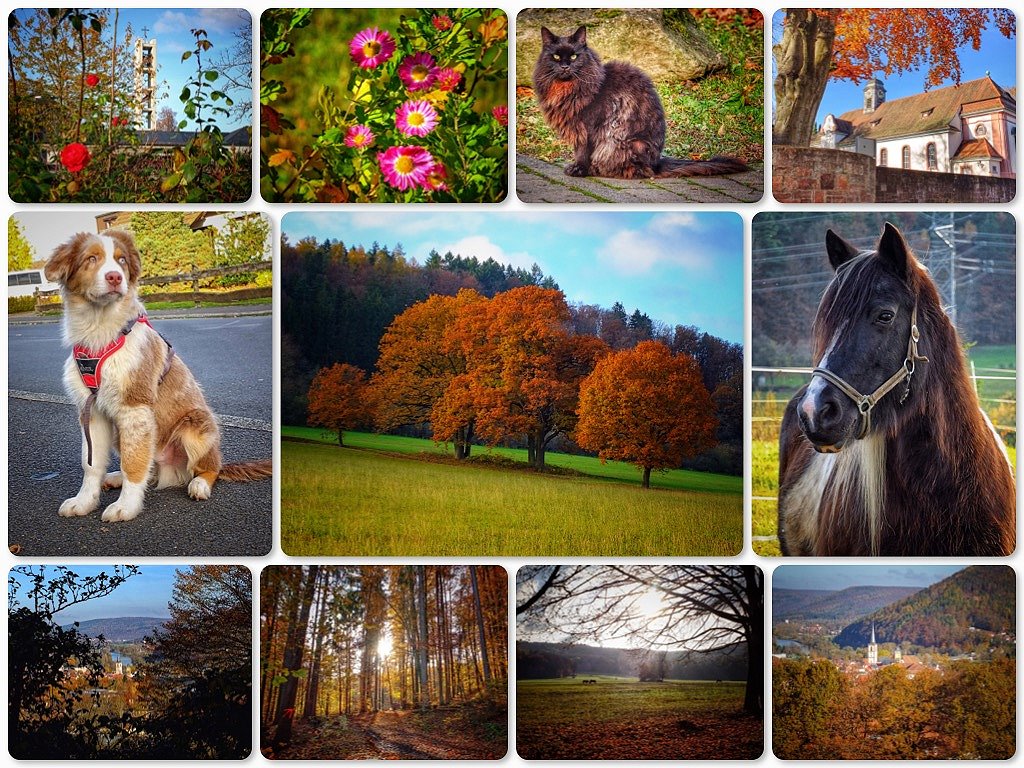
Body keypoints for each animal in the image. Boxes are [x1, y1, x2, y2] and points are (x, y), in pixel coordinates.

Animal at [44, 228, 272, 524]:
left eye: (121, 260)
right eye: (91, 258)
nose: (115, 277)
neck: (100, 331)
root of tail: (173, 472)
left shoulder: (135, 409)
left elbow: (133, 463)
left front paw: (126, 507)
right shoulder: (90, 411)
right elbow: (91, 464)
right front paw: (83, 501)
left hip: (196, 426)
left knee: (207, 468)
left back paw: (199, 484)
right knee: (148, 466)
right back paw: (116, 477)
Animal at [532, 25, 749, 180]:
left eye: (574, 56)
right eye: (556, 56)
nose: (565, 66)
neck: (566, 89)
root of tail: (656, 163)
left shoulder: (589, 127)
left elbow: (582, 152)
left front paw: (579, 170)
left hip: (625, 142)